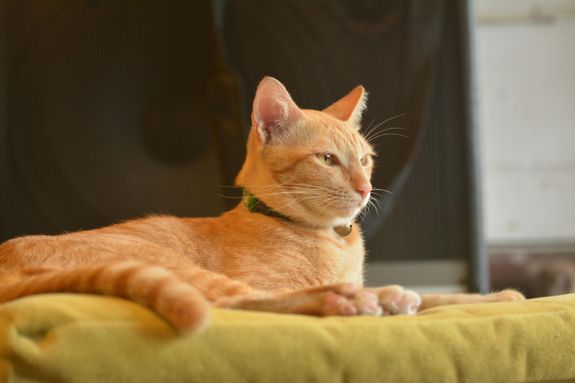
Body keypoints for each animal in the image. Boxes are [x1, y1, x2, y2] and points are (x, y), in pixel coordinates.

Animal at [0, 77, 524, 332]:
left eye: (366, 160)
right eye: (328, 160)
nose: (364, 189)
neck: (333, 241)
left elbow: (440, 297)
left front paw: (497, 297)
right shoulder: (268, 279)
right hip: (172, 266)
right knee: (238, 304)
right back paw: (359, 300)